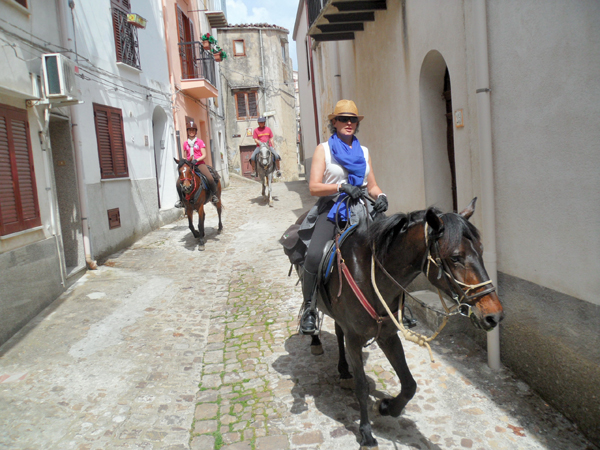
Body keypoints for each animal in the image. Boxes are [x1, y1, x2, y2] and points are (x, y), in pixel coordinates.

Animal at [282, 199, 502, 448]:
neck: (370, 275)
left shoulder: (387, 335)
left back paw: (344, 371)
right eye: (455, 257)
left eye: (481, 251)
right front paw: (366, 432)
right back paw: (314, 337)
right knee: (310, 308)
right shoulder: (355, 339)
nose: (493, 315)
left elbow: (409, 384)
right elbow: (362, 386)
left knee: (338, 332)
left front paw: (388, 407)